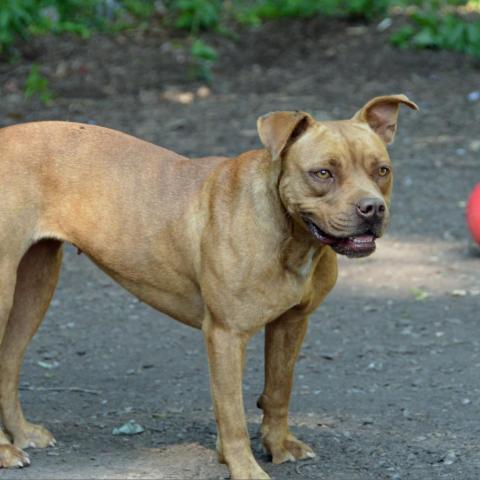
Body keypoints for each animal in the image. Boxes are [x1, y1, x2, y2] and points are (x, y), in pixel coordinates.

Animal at [0, 95, 416, 478]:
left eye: (382, 170)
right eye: (323, 173)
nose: (372, 208)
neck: (291, 236)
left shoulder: (292, 323)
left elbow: (278, 390)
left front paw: (278, 446)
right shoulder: (226, 334)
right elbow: (231, 412)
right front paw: (244, 468)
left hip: (35, 286)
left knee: (9, 361)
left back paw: (23, 434)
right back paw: (6, 451)